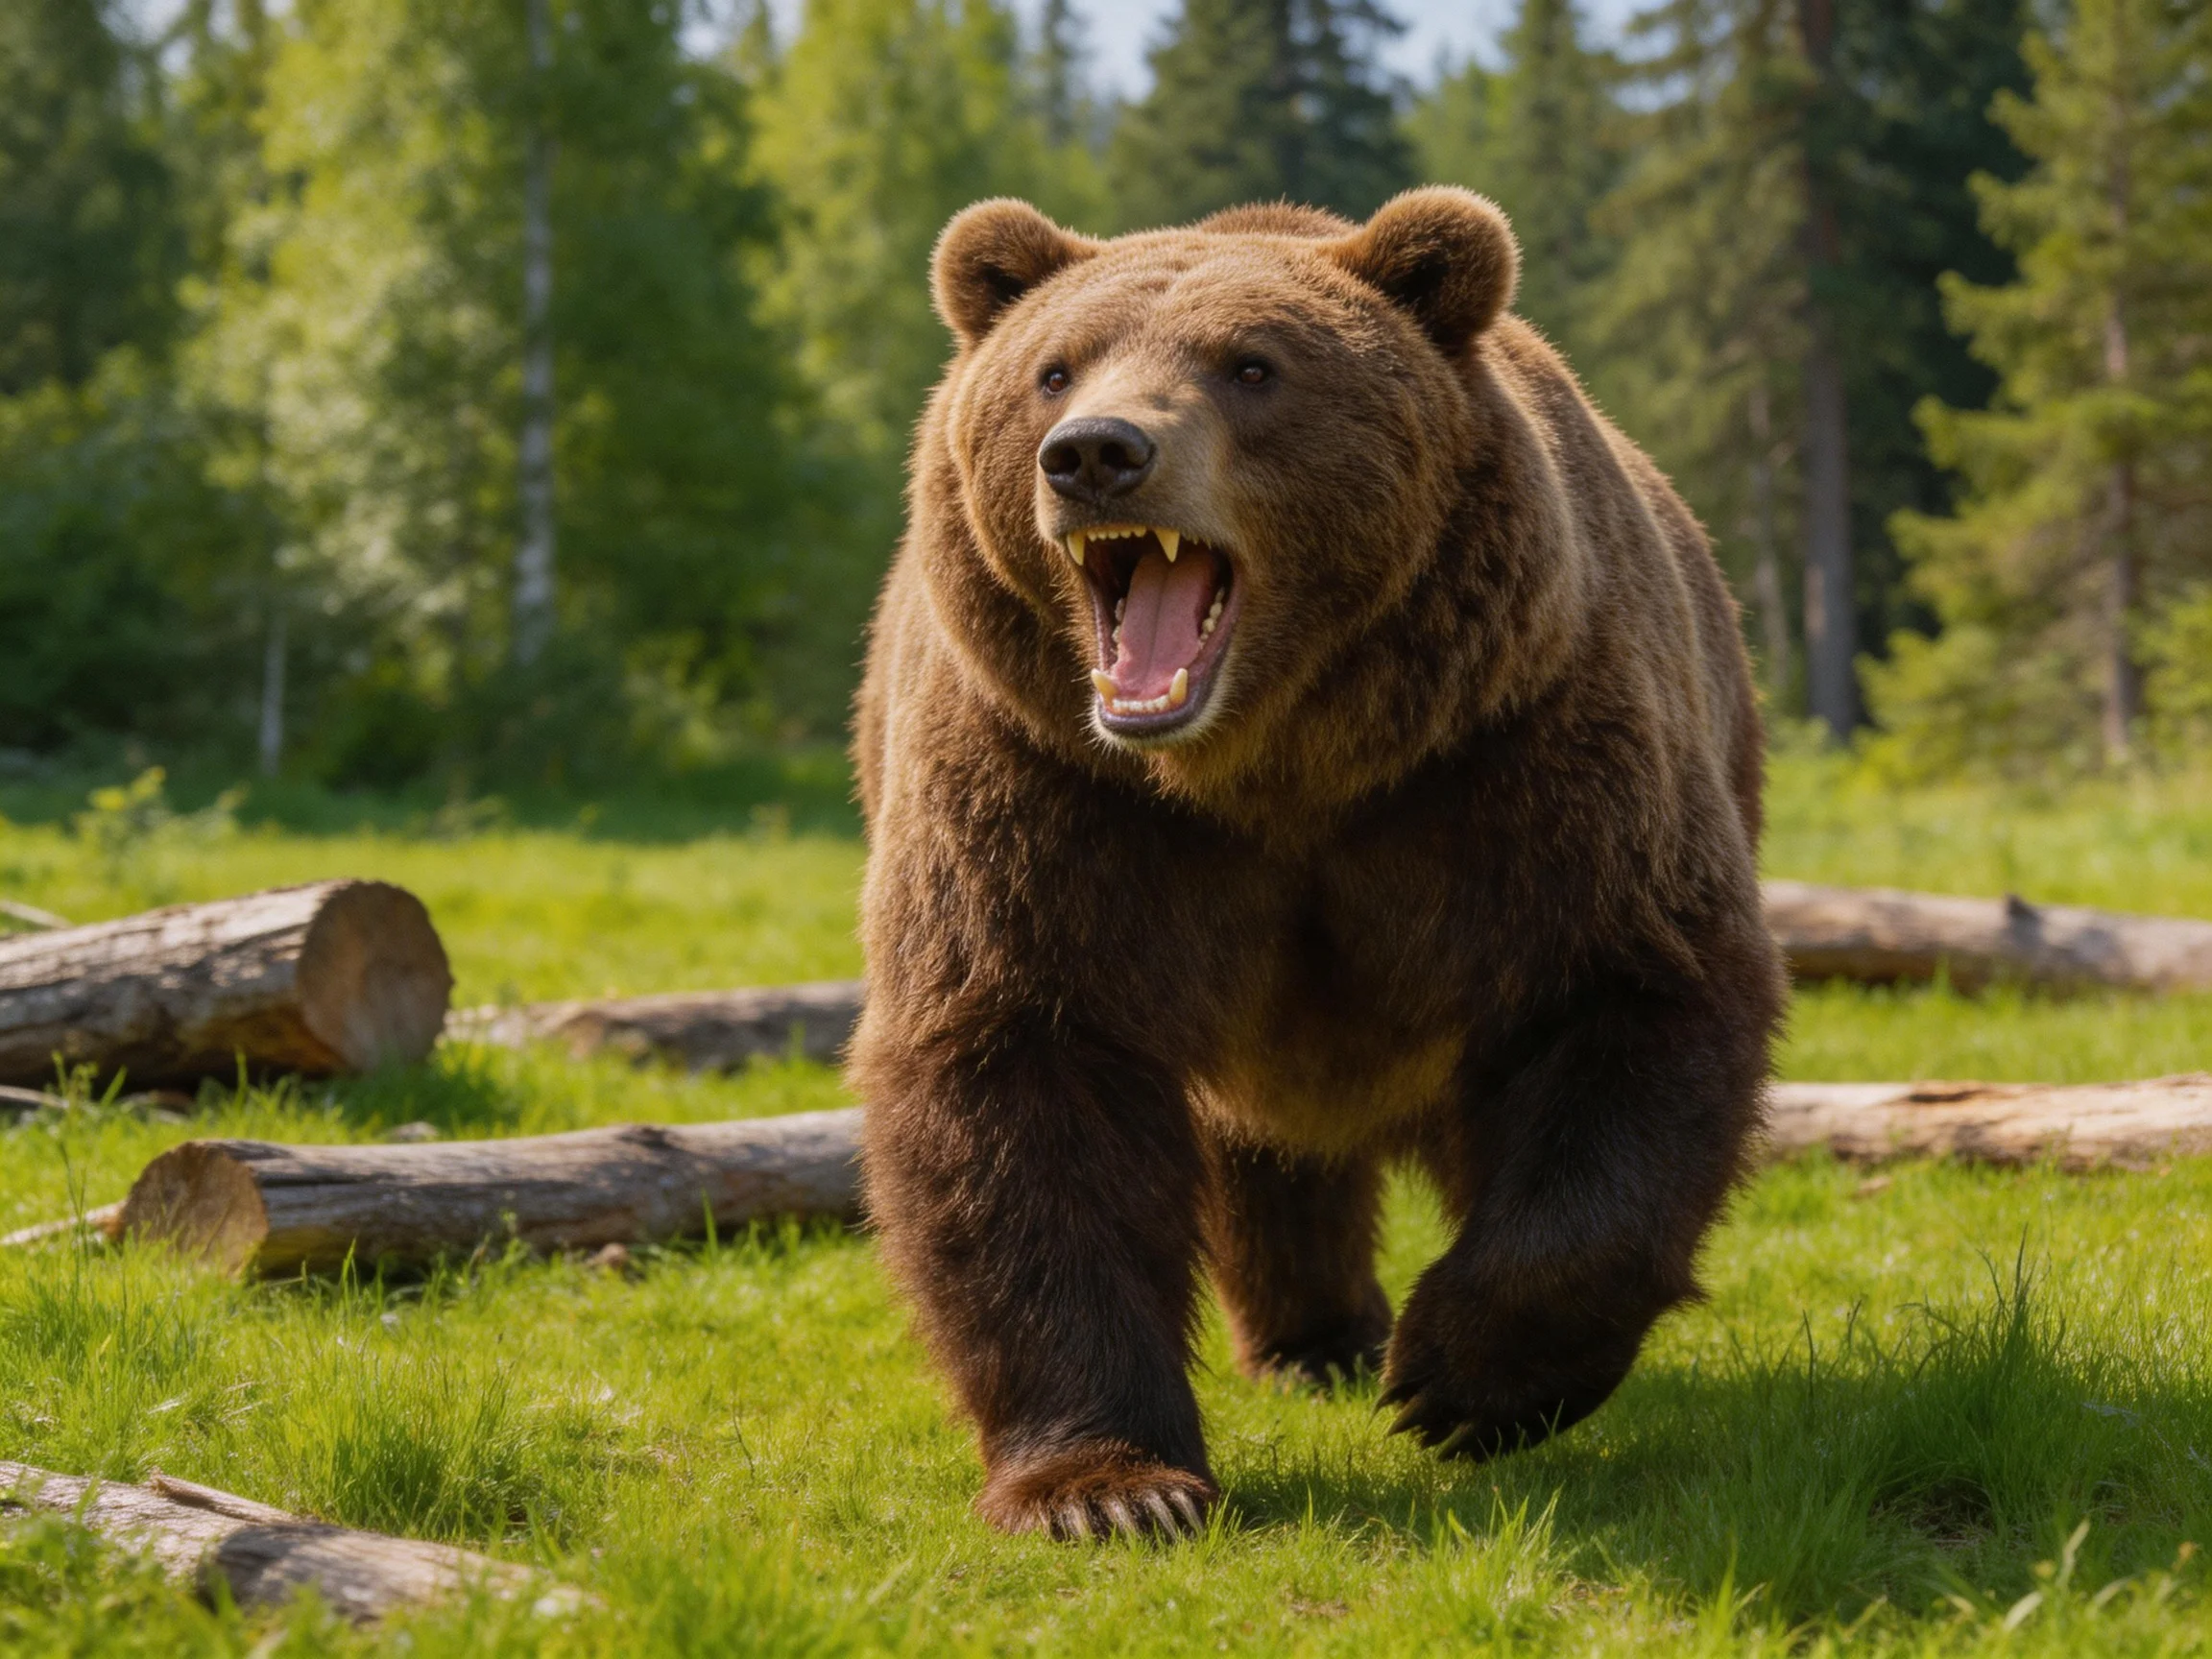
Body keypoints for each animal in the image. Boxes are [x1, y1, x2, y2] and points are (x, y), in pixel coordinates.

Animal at [848, 187, 1784, 1541]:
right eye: (1052, 368)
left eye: (1252, 366)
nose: (1094, 453)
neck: (1270, 765)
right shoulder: (1050, 796)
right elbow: (1020, 1070)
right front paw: (1109, 1489)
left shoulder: (1519, 757)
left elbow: (1629, 993)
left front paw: (1462, 1377)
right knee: (1260, 1146)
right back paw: (1312, 1337)